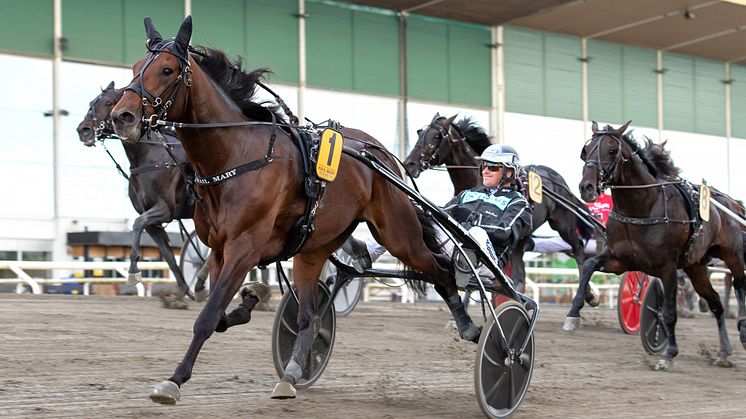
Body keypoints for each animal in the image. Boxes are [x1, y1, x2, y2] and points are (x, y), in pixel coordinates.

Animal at [75, 83, 201, 306]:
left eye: (109, 102)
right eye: (91, 102)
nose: (84, 130)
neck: (152, 157)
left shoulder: (164, 209)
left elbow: (137, 224)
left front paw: (133, 270)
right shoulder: (153, 221)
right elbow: (168, 256)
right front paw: (181, 294)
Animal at [108, 15, 468, 404]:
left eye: (167, 69)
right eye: (135, 68)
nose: (122, 116)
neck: (236, 154)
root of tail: (380, 153)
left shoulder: (244, 247)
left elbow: (208, 316)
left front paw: (173, 380)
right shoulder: (220, 250)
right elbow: (218, 313)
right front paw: (250, 297)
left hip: (398, 233)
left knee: (442, 271)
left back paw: (469, 324)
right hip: (313, 249)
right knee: (311, 317)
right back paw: (293, 372)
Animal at [568, 122, 744, 370]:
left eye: (611, 151)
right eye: (586, 151)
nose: (587, 187)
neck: (642, 207)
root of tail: (733, 204)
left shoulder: (667, 268)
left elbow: (669, 312)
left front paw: (668, 354)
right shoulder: (620, 260)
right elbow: (589, 265)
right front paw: (575, 311)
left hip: (733, 255)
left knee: (739, 284)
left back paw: (742, 329)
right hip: (696, 266)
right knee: (716, 303)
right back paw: (724, 352)